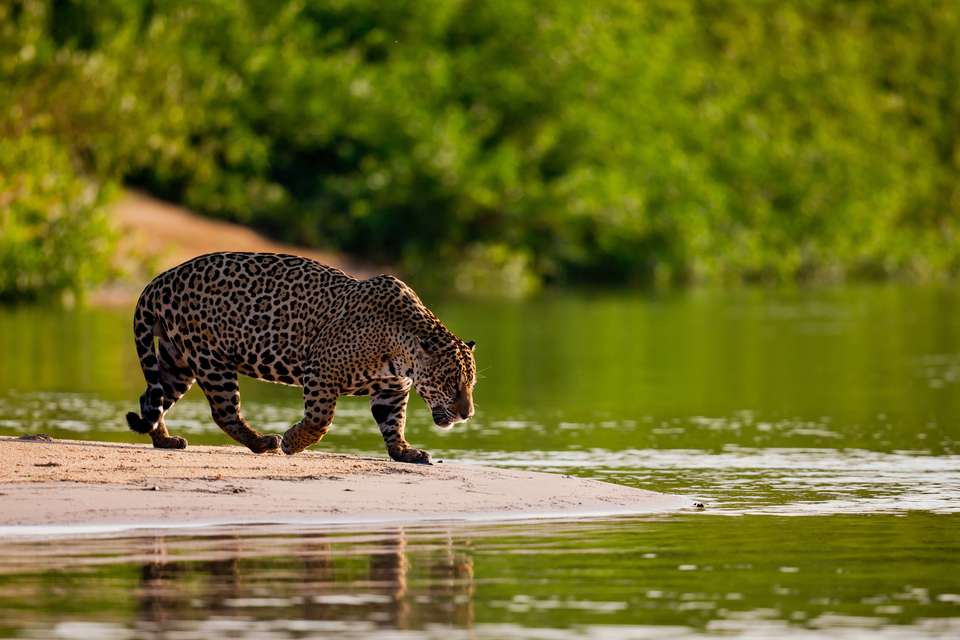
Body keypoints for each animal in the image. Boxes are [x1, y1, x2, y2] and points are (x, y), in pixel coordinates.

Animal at [124, 252, 476, 464]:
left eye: (470, 385)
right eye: (450, 383)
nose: (468, 414)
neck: (403, 349)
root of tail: (161, 278)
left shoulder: (392, 388)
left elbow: (393, 422)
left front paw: (404, 452)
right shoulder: (321, 369)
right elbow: (321, 419)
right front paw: (293, 442)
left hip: (177, 360)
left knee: (151, 397)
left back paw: (164, 440)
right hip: (211, 359)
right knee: (223, 412)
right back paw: (263, 442)